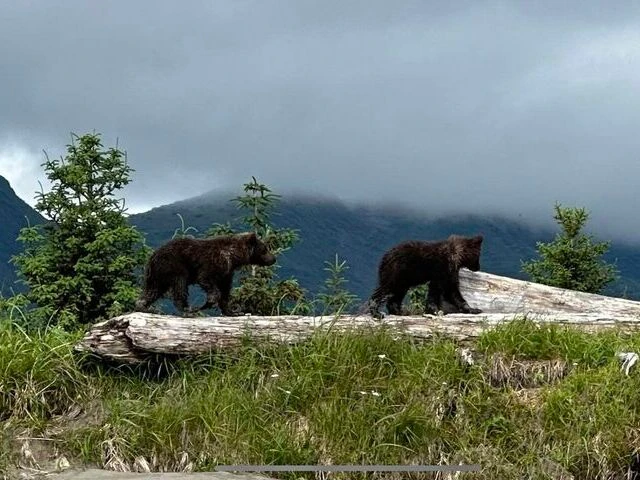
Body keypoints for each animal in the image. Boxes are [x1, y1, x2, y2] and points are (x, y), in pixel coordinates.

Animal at [135, 232, 276, 316]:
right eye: (265, 249)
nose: (273, 258)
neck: (233, 257)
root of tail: (152, 256)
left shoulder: (227, 272)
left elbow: (225, 290)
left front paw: (232, 311)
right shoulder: (214, 262)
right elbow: (206, 279)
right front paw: (210, 301)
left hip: (157, 274)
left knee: (153, 290)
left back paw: (144, 306)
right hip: (174, 265)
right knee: (180, 285)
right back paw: (187, 309)